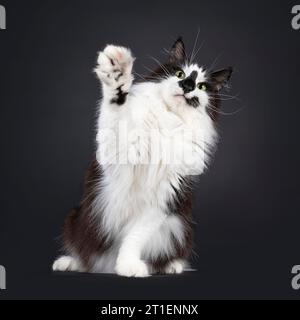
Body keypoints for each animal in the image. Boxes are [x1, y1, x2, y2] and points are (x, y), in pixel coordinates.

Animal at [52, 37, 233, 278]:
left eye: (202, 86)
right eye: (179, 74)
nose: (187, 86)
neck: (168, 120)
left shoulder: (164, 197)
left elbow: (134, 238)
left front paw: (128, 266)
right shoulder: (116, 154)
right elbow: (116, 105)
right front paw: (117, 71)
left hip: (181, 228)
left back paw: (171, 267)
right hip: (76, 218)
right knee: (85, 255)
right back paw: (68, 263)